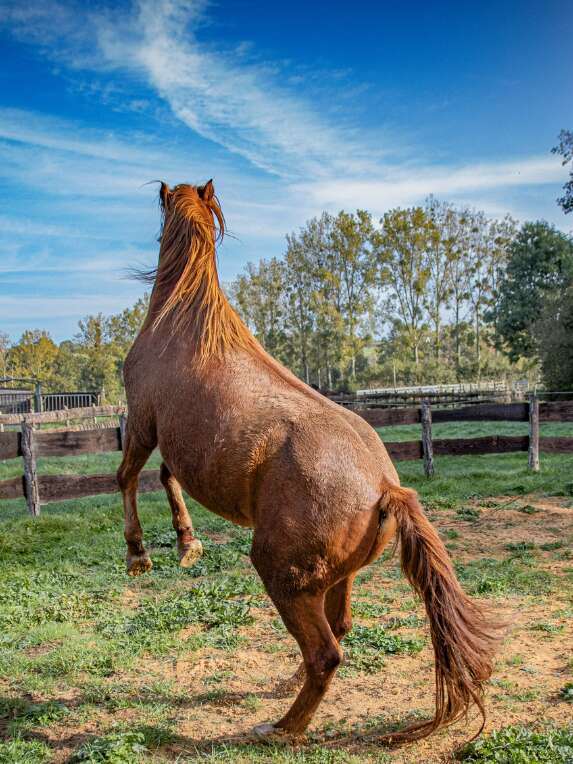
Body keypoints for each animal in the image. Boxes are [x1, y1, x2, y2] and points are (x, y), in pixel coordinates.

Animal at [118, 182, 498, 744]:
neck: (181, 319)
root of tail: (386, 489)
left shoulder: (144, 422)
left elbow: (126, 476)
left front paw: (138, 555)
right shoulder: (178, 446)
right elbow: (166, 478)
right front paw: (187, 543)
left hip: (283, 576)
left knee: (325, 653)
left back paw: (281, 727)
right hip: (336, 578)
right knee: (336, 633)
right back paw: (286, 689)